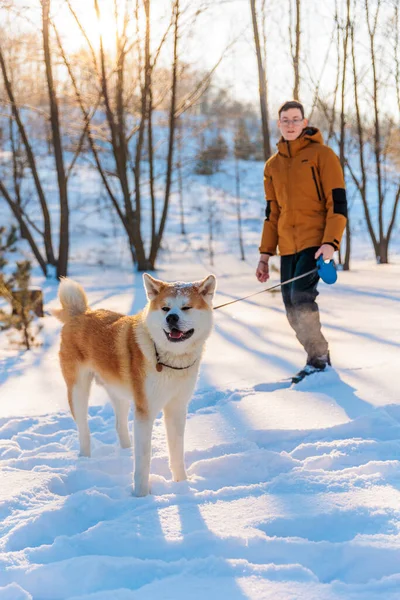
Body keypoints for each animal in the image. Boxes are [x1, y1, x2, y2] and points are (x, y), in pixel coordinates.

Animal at [54, 274, 216, 494]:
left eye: (186, 307)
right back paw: (85, 460)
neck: (168, 358)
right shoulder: (145, 412)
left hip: (119, 394)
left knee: (119, 425)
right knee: (83, 430)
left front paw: (182, 485)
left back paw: (126, 451)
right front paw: (141, 494)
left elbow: (176, 452)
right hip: (78, 391)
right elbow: (143, 460)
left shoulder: (177, 408)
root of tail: (80, 313)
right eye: (165, 308)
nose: (171, 318)